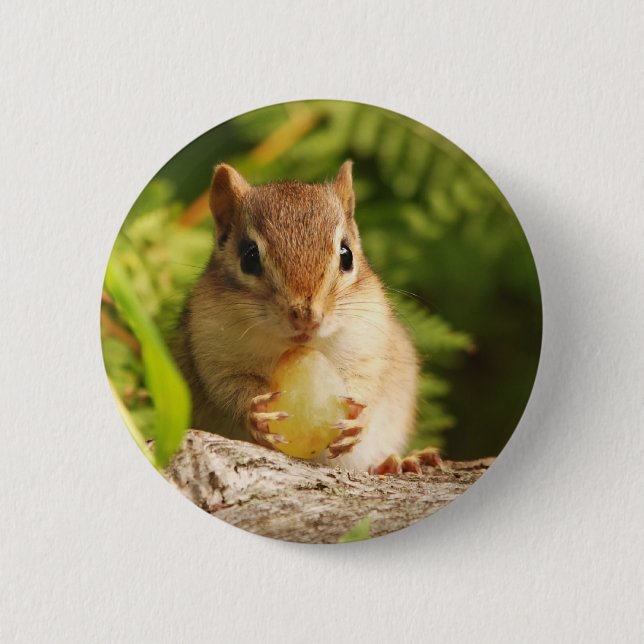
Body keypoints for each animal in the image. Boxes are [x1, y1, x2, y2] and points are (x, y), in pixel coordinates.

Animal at [174, 161, 440, 473]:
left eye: (347, 255)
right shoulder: (213, 353)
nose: (306, 317)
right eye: (249, 257)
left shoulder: (369, 345)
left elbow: (367, 383)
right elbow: (228, 390)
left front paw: (357, 421)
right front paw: (255, 413)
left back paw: (398, 462)